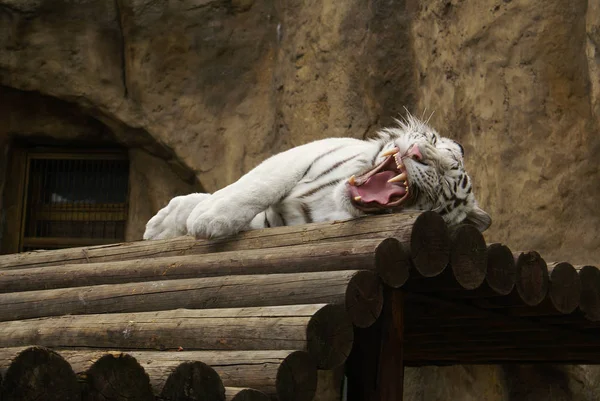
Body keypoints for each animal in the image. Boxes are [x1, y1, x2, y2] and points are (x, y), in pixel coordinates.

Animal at [144, 115, 492, 241]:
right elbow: (257, 185)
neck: (335, 203)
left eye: (446, 177)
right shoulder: (301, 155)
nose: (418, 152)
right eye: (432, 142)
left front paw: (206, 220)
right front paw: (211, 217)